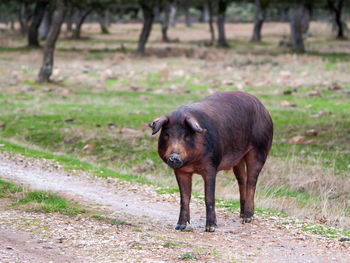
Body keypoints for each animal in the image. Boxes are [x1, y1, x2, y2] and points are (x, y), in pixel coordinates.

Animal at [148, 91, 274, 233]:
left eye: (186, 136)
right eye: (166, 135)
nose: (174, 157)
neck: (192, 164)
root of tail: (264, 109)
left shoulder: (211, 166)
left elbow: (209, 197)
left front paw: (210, 228)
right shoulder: (181, 171)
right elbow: (184, 197)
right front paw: (179, 227)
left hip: (259, 149)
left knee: (252, 183)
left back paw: (247, 219)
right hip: (238, 159)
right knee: (242, 181)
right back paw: (241, 215)